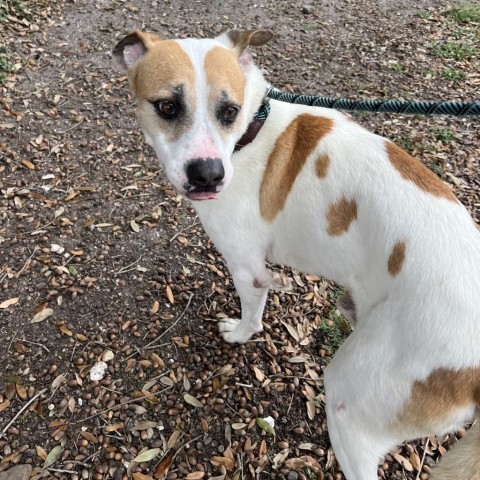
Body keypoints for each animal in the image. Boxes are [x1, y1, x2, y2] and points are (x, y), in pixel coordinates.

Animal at [113, 29, 480, 476]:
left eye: (229, 110)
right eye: (167, 106)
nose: (208, 175)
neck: (250, 132)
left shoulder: (248, 268)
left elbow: (253, 316)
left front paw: (239, 333)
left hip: (351, 399)